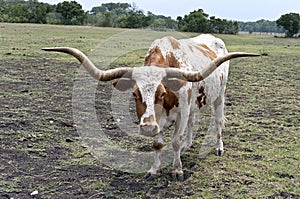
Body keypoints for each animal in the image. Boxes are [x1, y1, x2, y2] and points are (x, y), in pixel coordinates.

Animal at [42, 34, 260, 180]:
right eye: (134, 94)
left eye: (161, 93)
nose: (147, 128)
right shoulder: (160, 119)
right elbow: (157, 144)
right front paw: (155, 169)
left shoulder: (181, 112)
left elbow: (175, 141)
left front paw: (177, 169)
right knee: (193, 121)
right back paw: (188, 145)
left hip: (219, 96)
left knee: (218, 122)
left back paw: (218, 147)